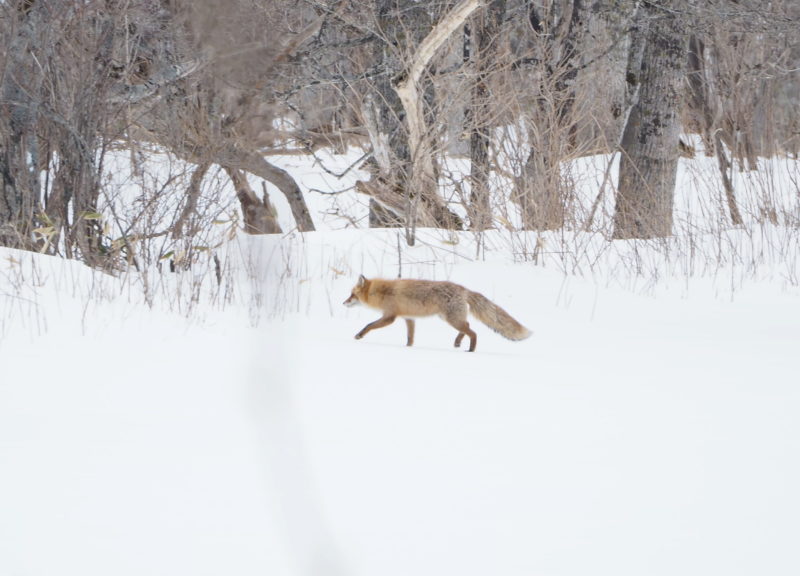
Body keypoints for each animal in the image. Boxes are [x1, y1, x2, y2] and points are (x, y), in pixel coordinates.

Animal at [340, 274, 528, 352]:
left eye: (352, 295)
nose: (343, 302)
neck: (383, 292)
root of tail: (464, 289)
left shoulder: (389, 317)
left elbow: (368, 325)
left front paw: (359, 335)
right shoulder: (409, 318)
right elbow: (410, 338)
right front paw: (407, 348)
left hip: (451, 319)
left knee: (473, 332)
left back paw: (470, 350)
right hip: (449, 318)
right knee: (468, 327)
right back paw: (458, 342)